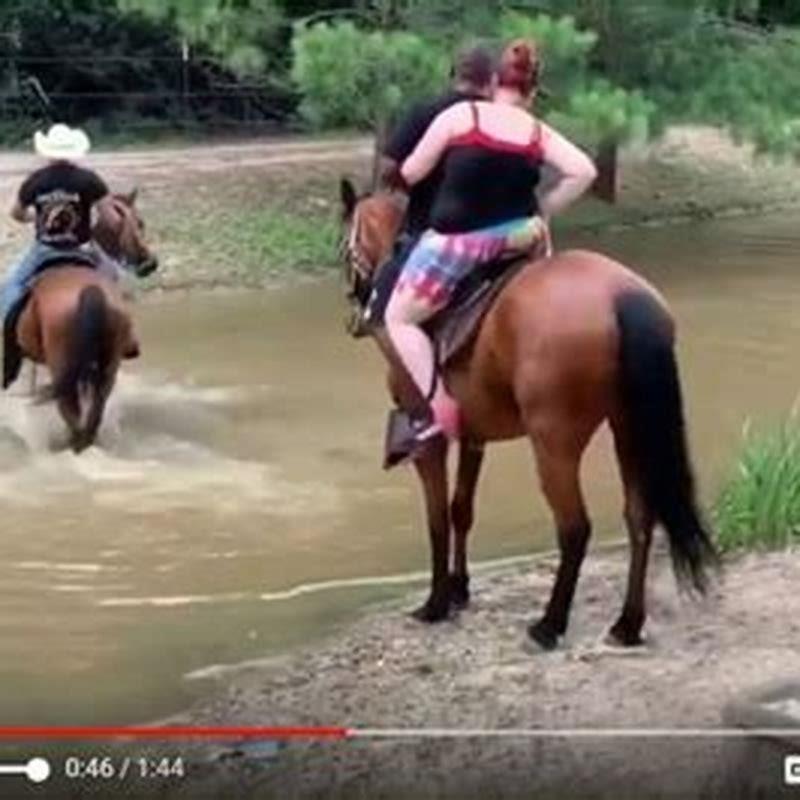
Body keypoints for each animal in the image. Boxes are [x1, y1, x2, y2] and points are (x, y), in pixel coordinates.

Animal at [15, 190, 157, 453]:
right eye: (139, 222)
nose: (150, 264)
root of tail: (90, 292)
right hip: (105, 373)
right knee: (91, 419)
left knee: (74, 418)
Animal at [339, 179, 717, 650]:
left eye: (343, 244)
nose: (355, 312)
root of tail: (622, 296)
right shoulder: (474, 434)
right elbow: (462, 509)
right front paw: (460, 589)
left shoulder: (430, 439)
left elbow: (437, 518)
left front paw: (436, 603)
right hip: (628, 428)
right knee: (639, 517)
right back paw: (627, 624)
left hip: (554, 442)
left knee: (574, 527)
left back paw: (549, 625)